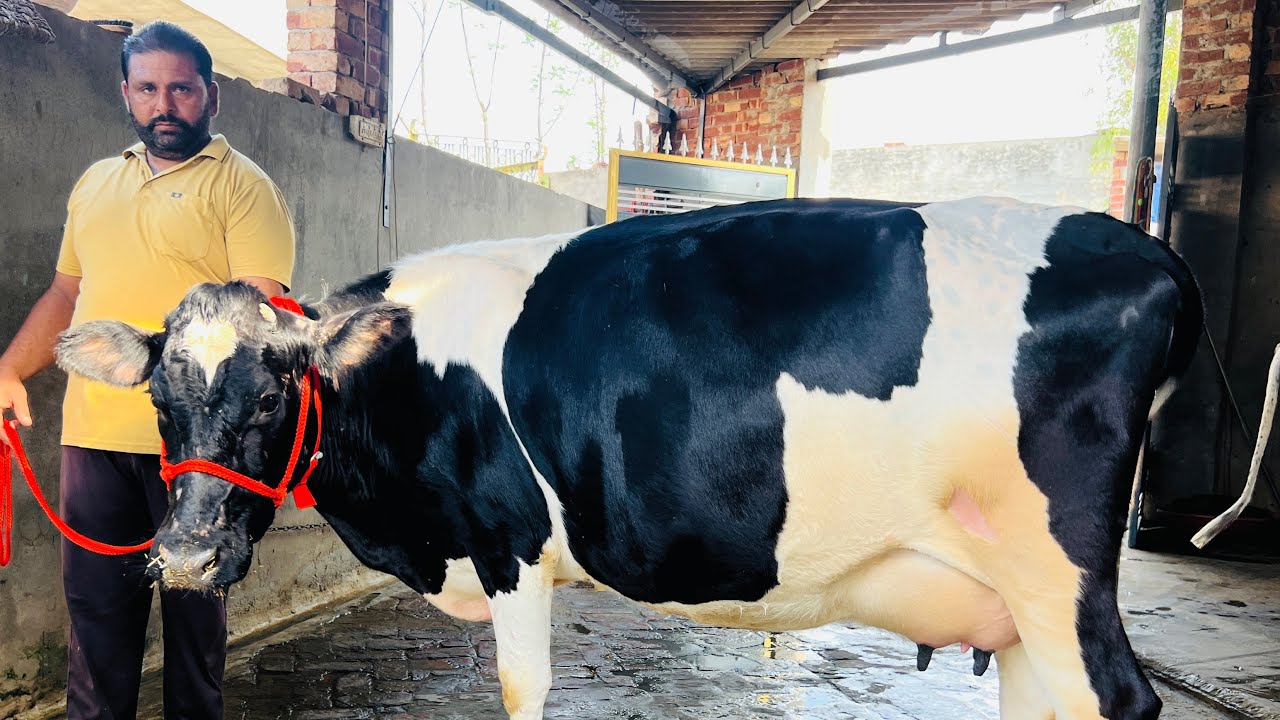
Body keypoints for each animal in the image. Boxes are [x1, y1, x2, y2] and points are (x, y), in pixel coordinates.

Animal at [55, 196, 1202, 719]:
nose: (186, 558)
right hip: (1015, 599)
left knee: (1117, 695)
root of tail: (1134, 241)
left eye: (273, 393)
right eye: (157, 403)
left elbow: (521, 686)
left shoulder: (509, 541)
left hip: (1056, 570)